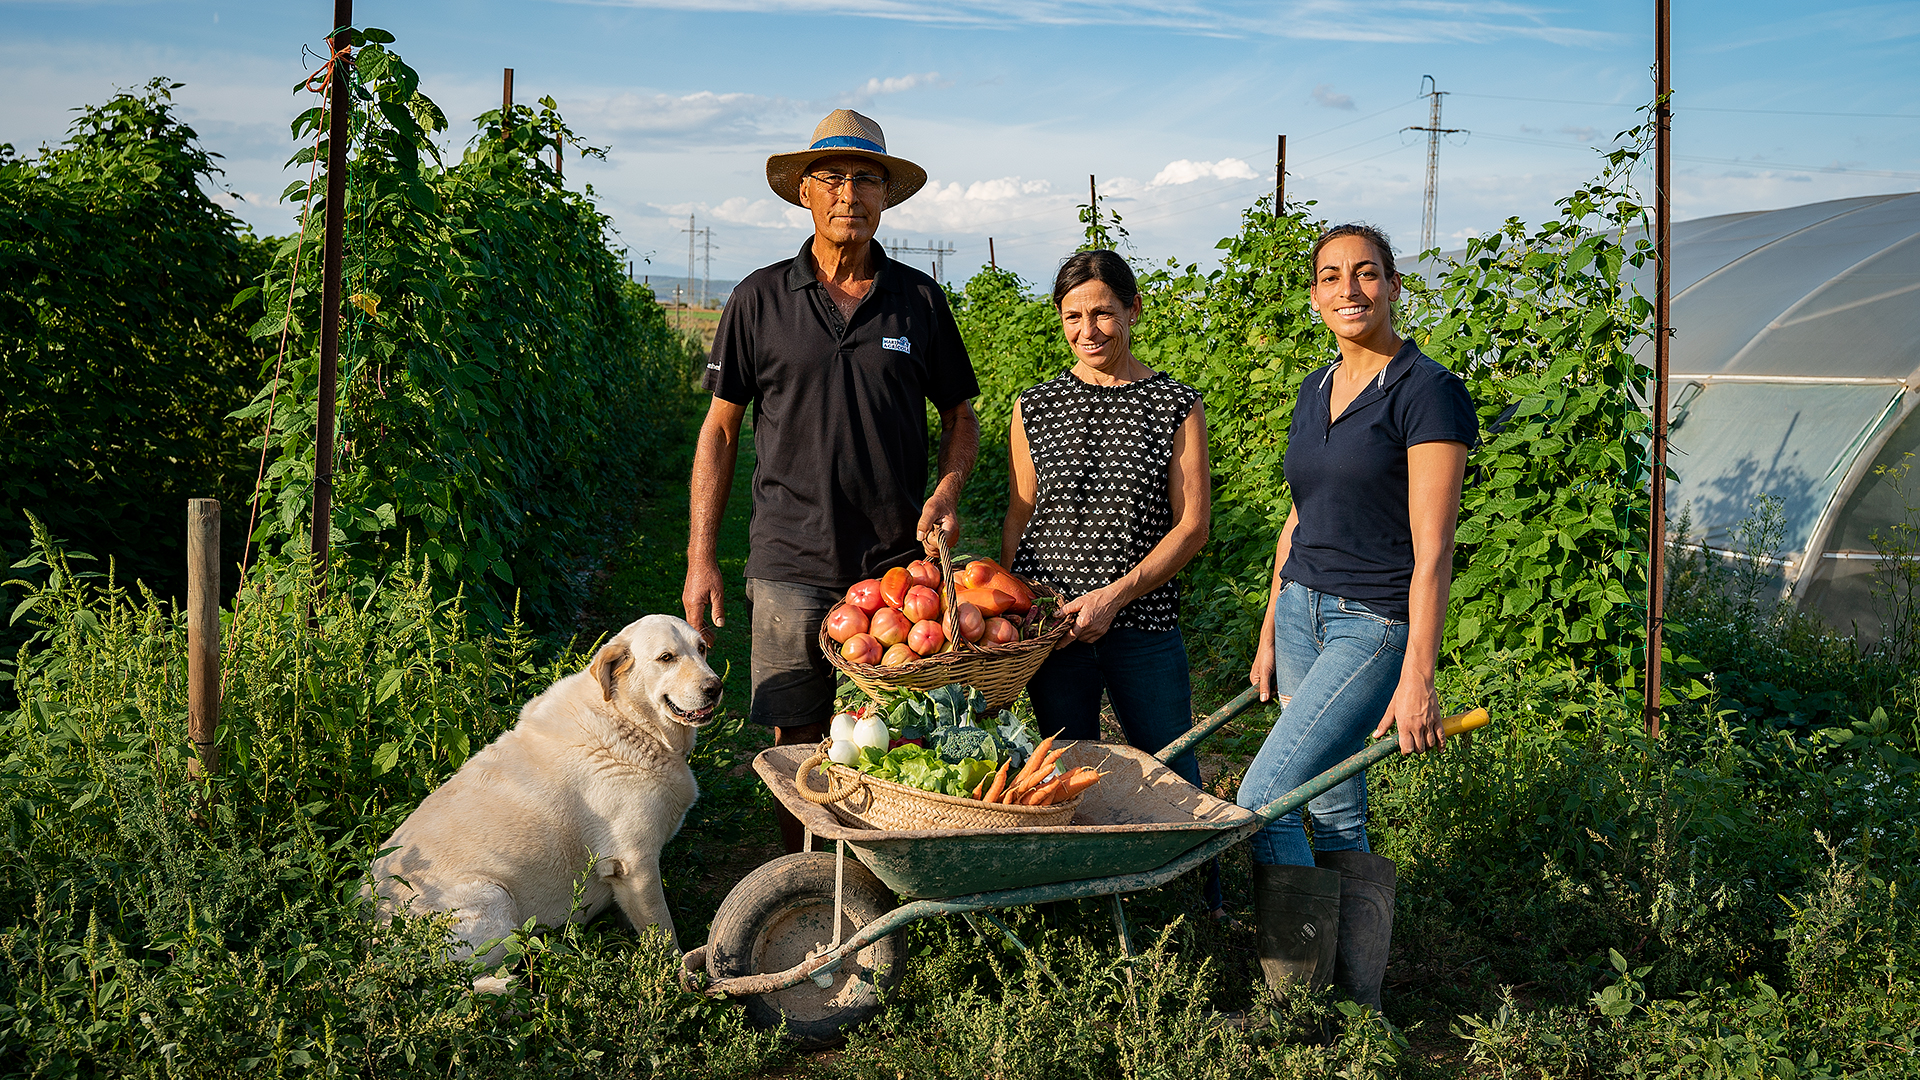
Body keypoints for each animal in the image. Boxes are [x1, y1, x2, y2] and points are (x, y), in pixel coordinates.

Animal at [360, 611, 721, 980]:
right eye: (666, 658)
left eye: (702, 649)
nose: (715, 687)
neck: (631, 721)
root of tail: (370, 931)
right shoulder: (634, 862)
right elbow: (663, 932)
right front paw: (679, 975)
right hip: (496, 901)